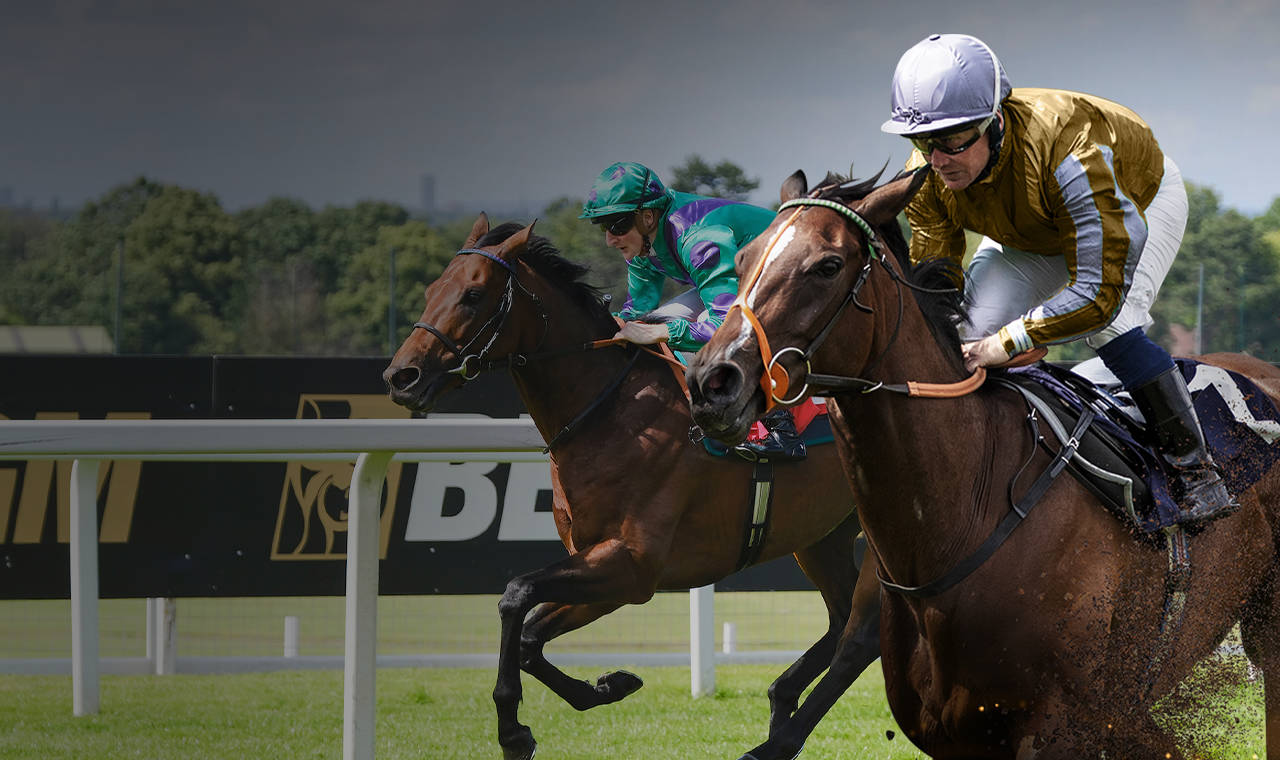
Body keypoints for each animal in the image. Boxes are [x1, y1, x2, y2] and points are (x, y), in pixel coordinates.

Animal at [382, 213, 884, 760]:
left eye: (473, 295)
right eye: (432, 289)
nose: (401, 376)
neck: (611, 413)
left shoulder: (632, 566)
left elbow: (516, 595)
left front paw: (512, 731)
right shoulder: (603, 566)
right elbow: (530, 638)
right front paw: (609, 685)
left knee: (862, 636)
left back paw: (778, 737)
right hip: (822, 536)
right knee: (841, 618)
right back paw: (781, 699)